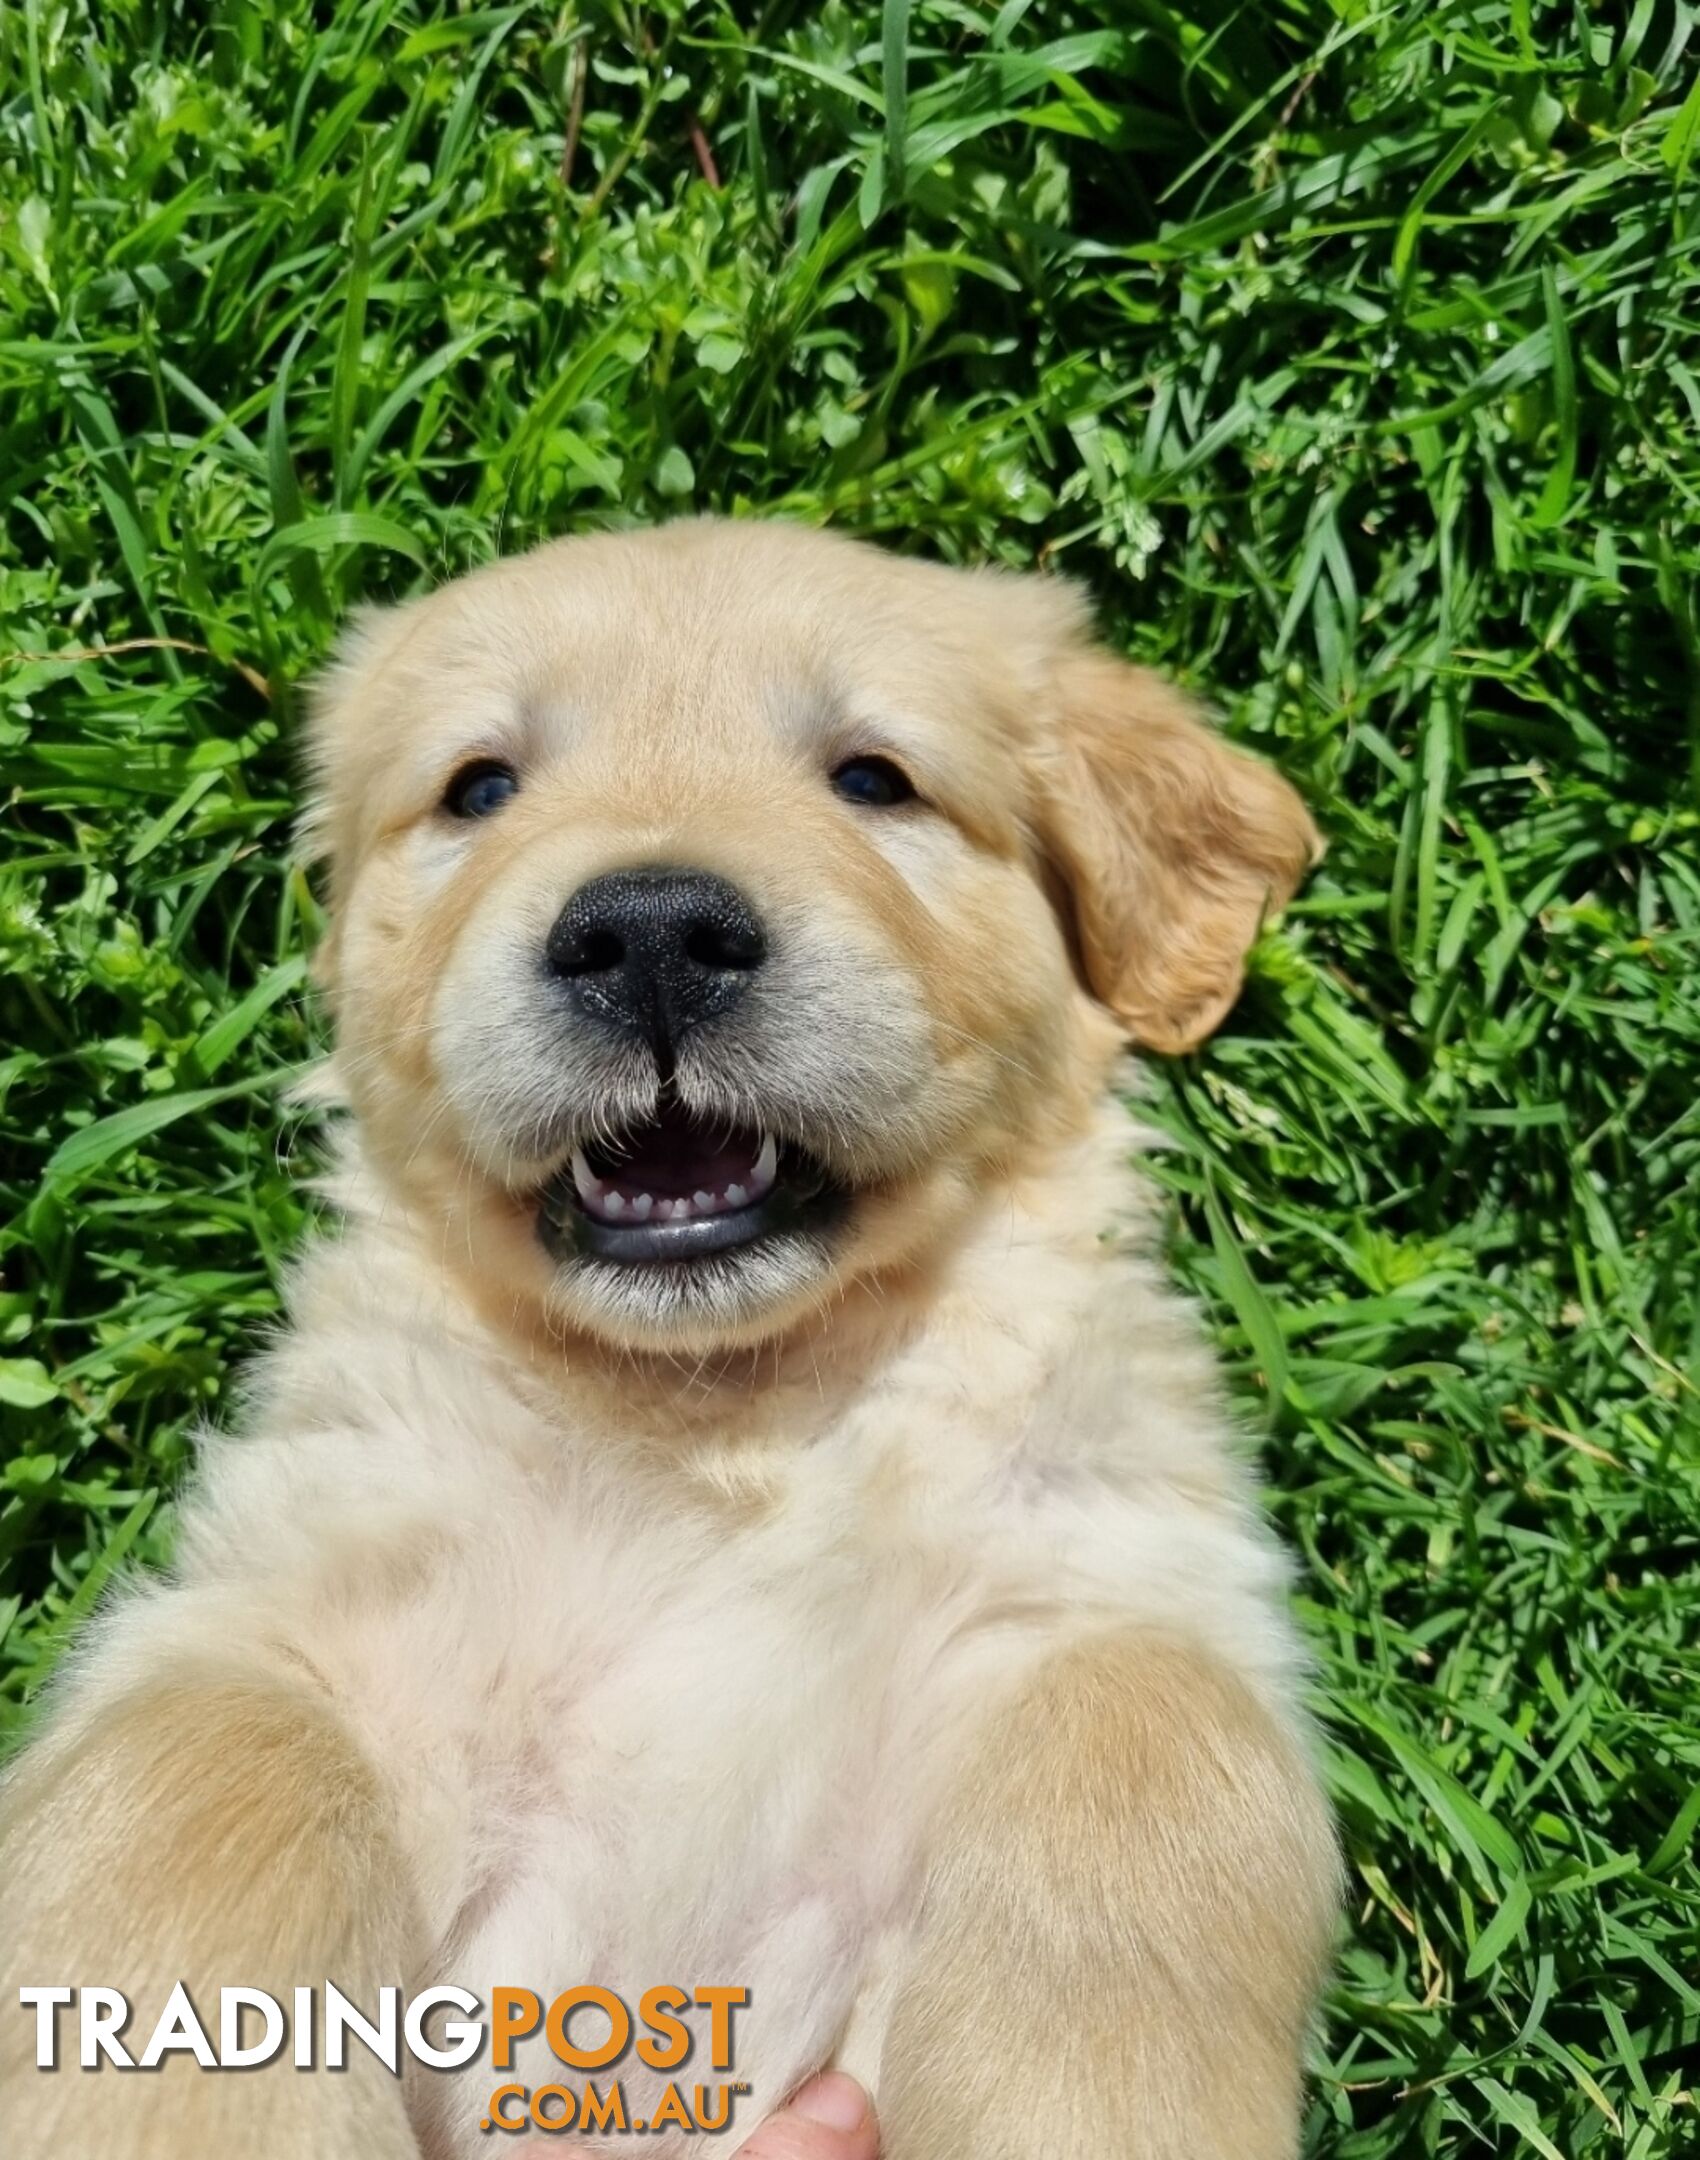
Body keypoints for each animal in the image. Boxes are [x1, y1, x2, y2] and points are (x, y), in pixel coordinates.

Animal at [3, 522, 1339, 2160]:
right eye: (481, 788)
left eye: (874, 777)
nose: (646, 934)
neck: (717, 1413)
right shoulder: (279, 1601)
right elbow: (199, 1769)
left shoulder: (1113, 1572)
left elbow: (1139, 1740)